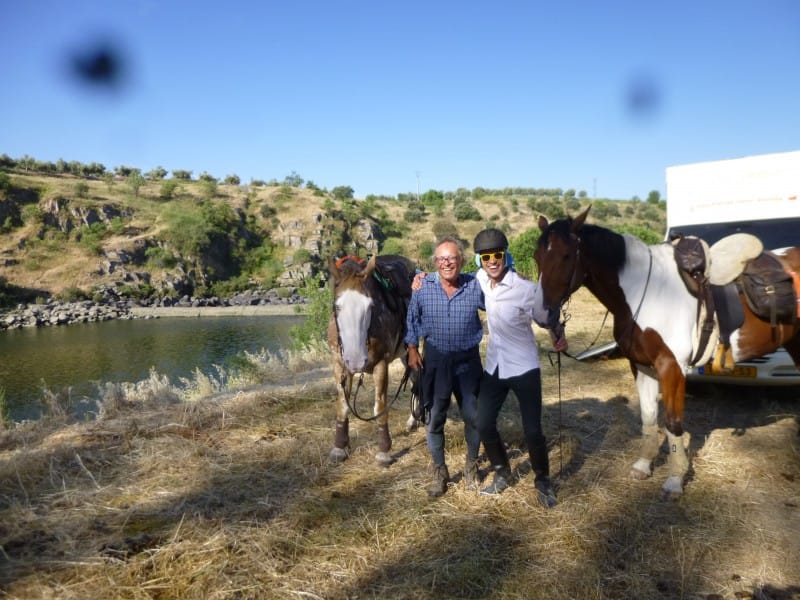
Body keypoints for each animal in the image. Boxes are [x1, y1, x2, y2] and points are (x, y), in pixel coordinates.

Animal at [324, 253, 416, 464]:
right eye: (337, 306)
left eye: (370, 306)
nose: (356, 361)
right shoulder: (339, 364)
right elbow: (343, 406)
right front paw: (339, 447)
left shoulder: (381, 365)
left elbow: (379, 408)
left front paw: (384, 450)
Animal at [532, 206, 800, 496]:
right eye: (537, 256)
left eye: (566, 255)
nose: (541, 315)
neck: (646, 292)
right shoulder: (642, 367)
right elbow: (649, 418)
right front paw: (643, 466)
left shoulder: (671, 368)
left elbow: (673, 423)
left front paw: (675, 478)